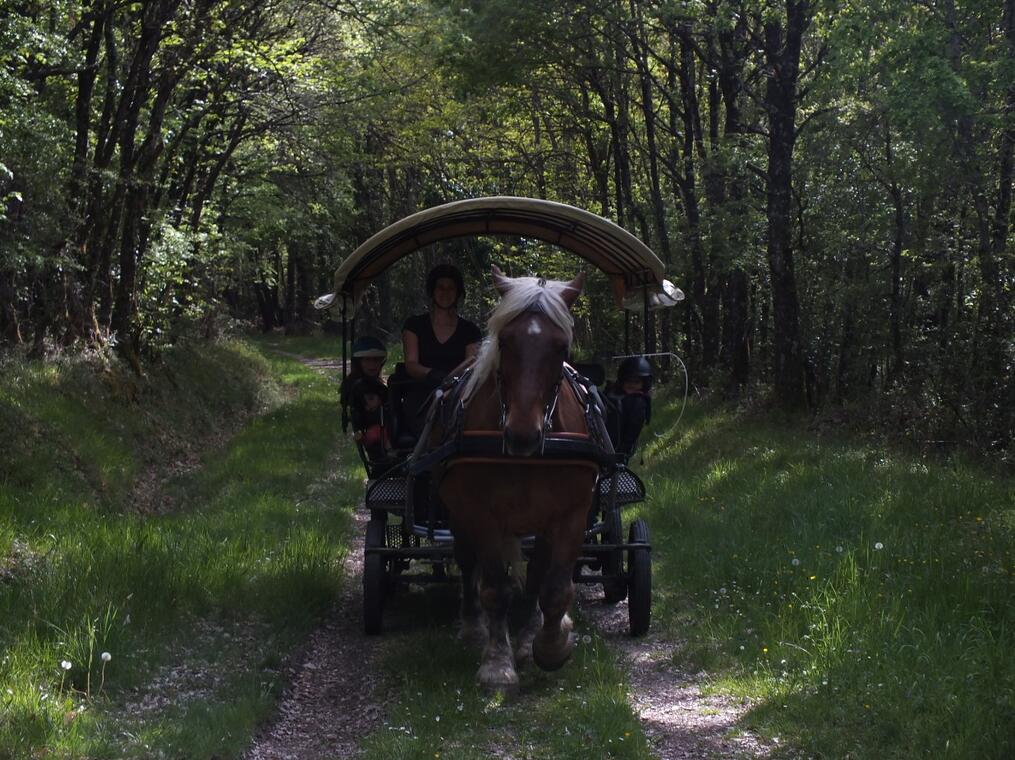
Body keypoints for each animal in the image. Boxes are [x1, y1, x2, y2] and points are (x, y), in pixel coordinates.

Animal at [434, 265, 592, 685]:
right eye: (504, 341)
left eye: (562, 348)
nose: (522, 435)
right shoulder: (482, 514)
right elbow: (494, 588)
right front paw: (497, 663)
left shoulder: (569, 514)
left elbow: (553, 588)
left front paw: (547, 645)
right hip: (458, 514)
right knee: (466, 562)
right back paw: (473, 625)